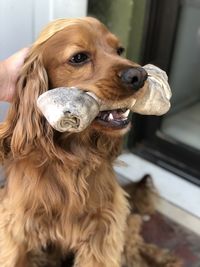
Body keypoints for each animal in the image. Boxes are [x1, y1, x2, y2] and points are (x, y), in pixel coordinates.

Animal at [0, 17, 148, 267]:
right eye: (79, 58)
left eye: (119, 50)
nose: (140, 76)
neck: (72, 159)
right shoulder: (16, 226)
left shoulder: (104, 228)